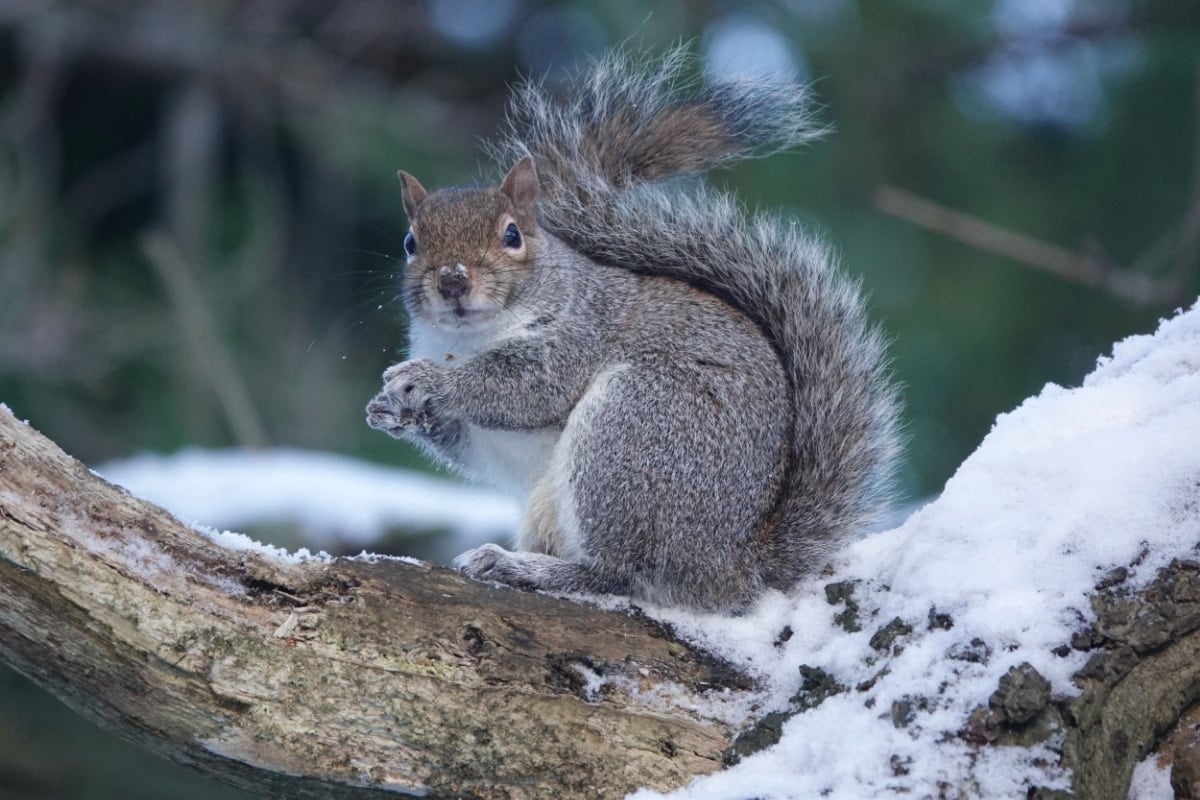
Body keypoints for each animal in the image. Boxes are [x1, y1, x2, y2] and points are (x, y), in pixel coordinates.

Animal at [364, 48, 902, 614]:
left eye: (512, 235)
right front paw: (390, 411)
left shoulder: (578, 333)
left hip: (633, 431)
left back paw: (525, 568)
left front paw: (427, 380)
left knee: (617, 573)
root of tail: (733, 566)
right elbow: (475, 446)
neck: (465, 340)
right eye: (409, 242)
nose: (452, 281)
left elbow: (525, 388)